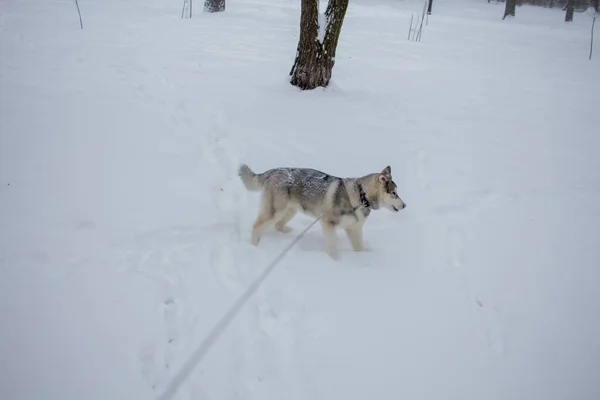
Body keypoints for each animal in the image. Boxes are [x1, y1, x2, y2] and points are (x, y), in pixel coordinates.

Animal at [237, 163, 406, 260]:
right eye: (394, 193)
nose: (405, 205)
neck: (360, 195)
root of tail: (273, 171)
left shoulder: (354, 229)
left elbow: (359, 247)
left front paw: (361, 259)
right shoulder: (328, 223)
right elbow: (331, 247)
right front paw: (335, 260)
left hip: (290, 210)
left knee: (278, 225)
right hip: (276, 210)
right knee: (257, 226)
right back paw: (254, 246)